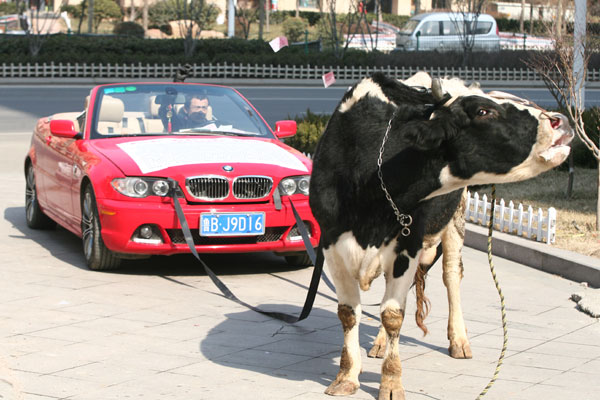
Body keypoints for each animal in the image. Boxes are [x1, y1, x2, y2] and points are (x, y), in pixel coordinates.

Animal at [310, 72, 572, 400]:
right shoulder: (332, 244)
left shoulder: (407, 244)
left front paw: (391, 382)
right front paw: (346, 376)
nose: (561, 120)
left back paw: (458, 340)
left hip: (456, 219)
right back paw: (380, 343)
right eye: (484, 111)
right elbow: (348, 312)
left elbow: (393, 313)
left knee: (451, 275)